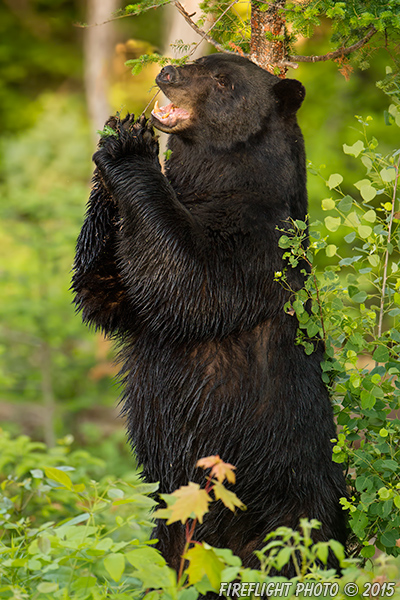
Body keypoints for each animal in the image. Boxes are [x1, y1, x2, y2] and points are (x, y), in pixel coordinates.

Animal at [72, 54, 346, 576]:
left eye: (222, 80)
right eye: (198, 61)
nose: (169, 73)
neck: (221, 180)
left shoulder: (259, 246)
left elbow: (192, 283)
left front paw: (132, 148)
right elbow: (105, 290)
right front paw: (116, 133)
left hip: (286, 508)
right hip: (174, 527)